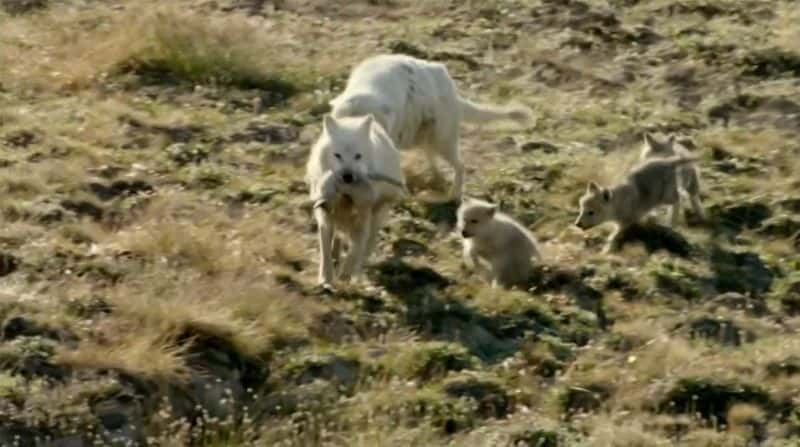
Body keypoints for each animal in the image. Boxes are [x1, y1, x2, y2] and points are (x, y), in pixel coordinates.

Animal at [306, 112, 406, 288]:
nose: (347, 177)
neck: (346, 198)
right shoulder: (325, 216)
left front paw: (345, 274)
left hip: (377, 215)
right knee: (339, 240)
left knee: (367, 245)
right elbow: (325, 249)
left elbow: (356, 248)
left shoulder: (364, 216)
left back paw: (356, 270)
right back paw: (336, 257)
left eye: (358, 156)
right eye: (337, 155)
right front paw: (326, 278)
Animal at [330, 53, 532, 200]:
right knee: (432, 156)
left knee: (460, 166)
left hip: (443, 137)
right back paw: (436, 178)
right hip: (427, 135)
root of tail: (453, 92)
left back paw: (454, 195)